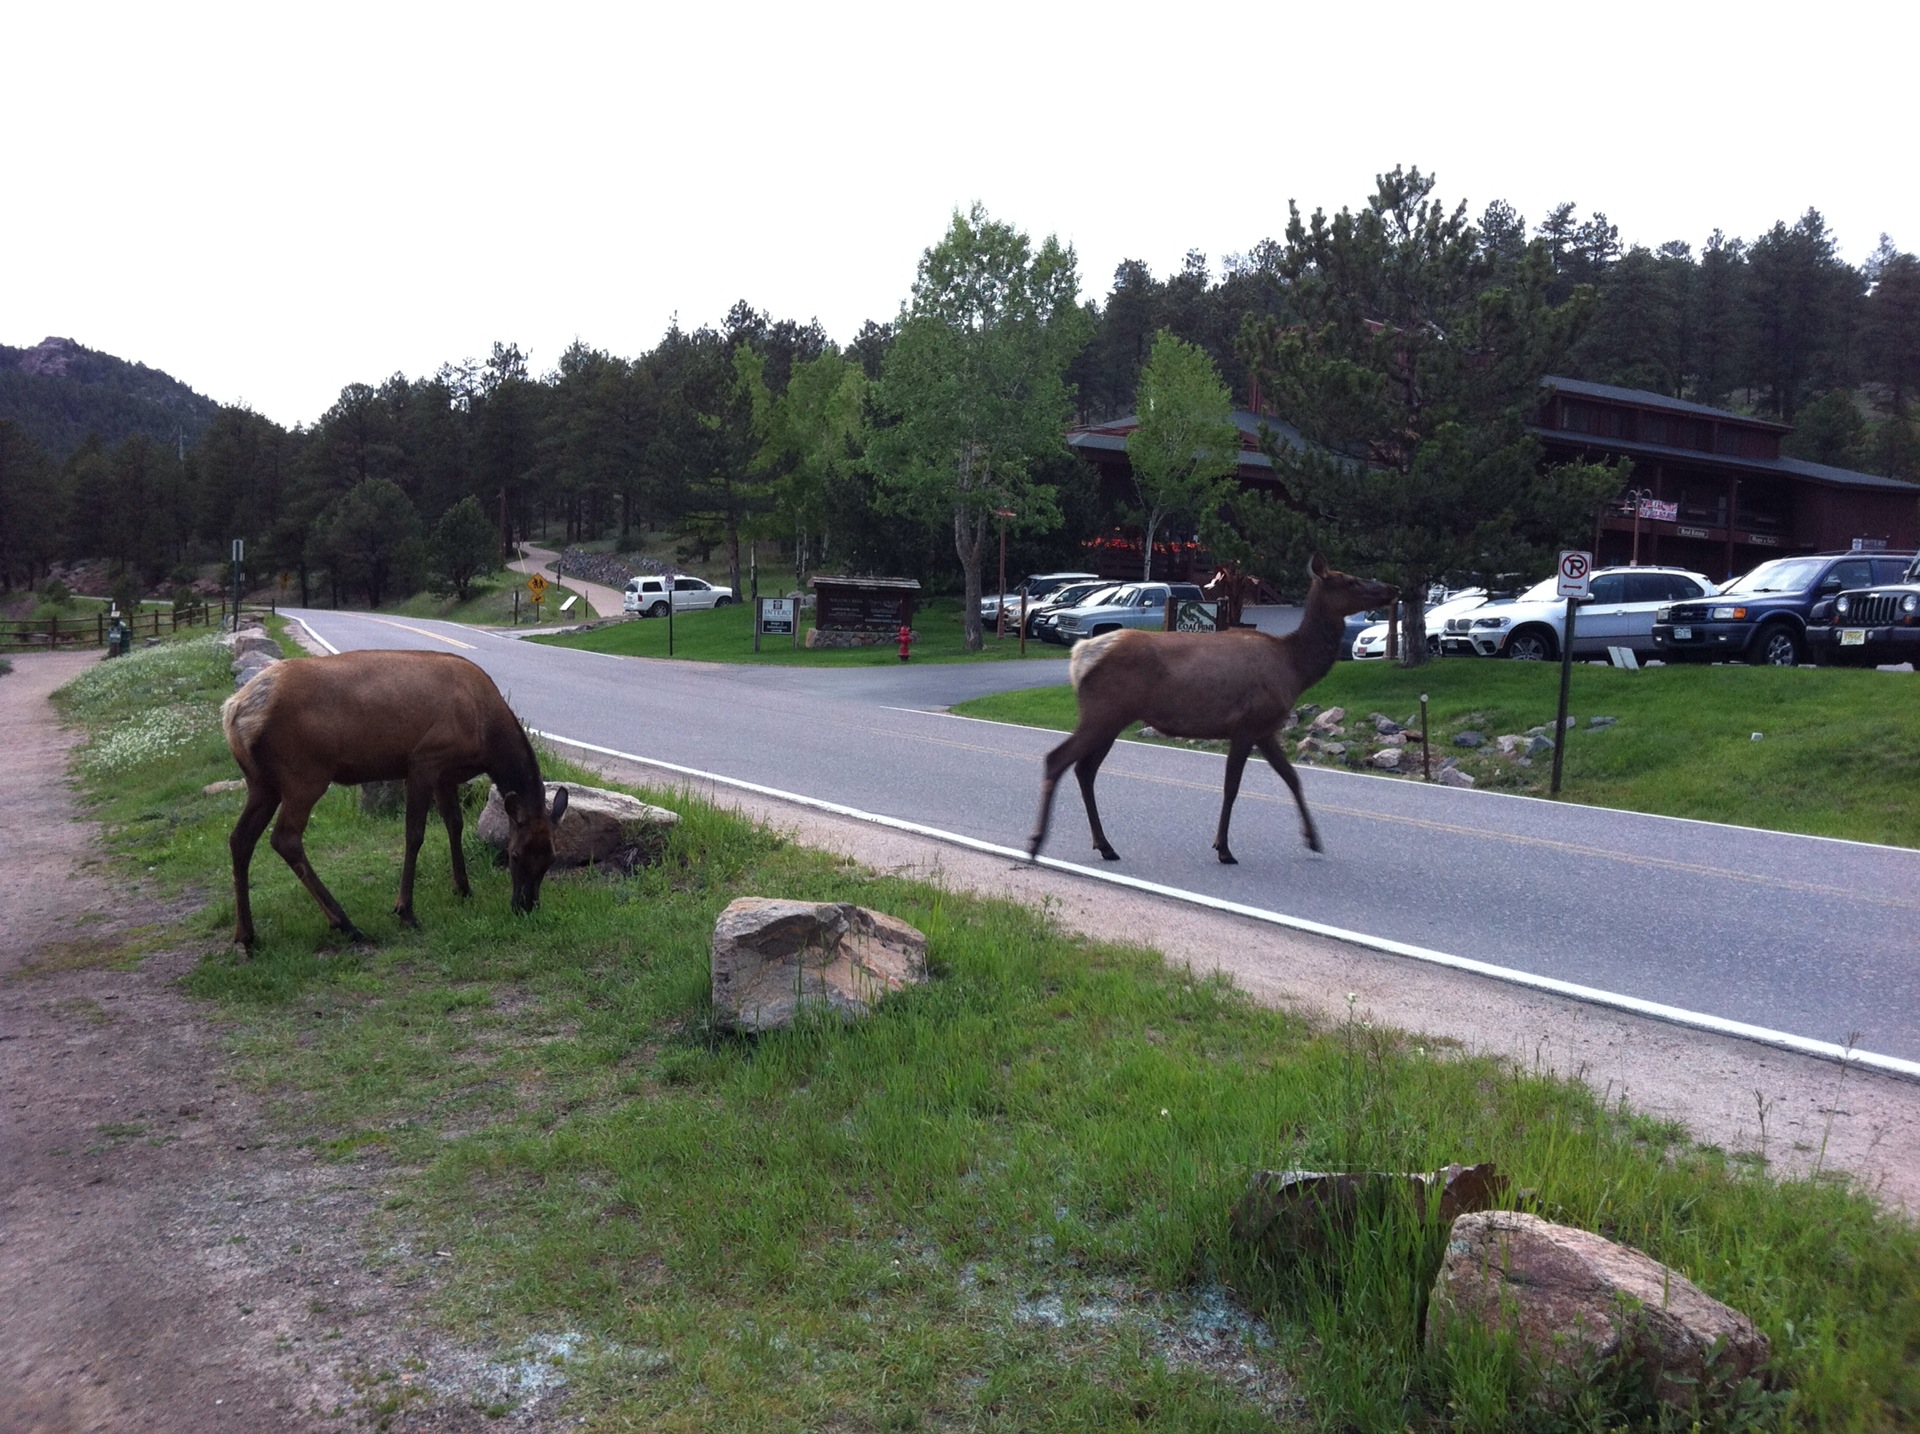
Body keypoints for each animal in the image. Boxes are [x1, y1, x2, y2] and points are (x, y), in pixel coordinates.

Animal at [222, 649, 569, 948]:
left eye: (552, 858)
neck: (485, 735)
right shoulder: (425, 759)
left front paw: (463, 888)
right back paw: (344, 922)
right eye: (514, 854)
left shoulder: (446, 775)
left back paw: (246, 935)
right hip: (304, 775)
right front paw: (405, 910)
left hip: (261, 783)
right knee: (284, 838)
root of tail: (233, 711)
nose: (526, 905)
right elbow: (414, 834)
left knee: (240, 838)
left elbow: (454, 825)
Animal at [1029, 553, 1397, 865]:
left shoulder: (1265, 729)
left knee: (1084, 770)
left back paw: (1104, 845)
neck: (1294, 669)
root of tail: (1079, 655)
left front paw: (1313, 840)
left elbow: (1292, 778)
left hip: (1110, 718)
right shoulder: (1247, 725)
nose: (1392, 589)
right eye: (1350, 580)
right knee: (1058, 759)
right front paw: (1224, 848)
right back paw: (1036, 843)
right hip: (1103, 713)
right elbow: (1231, 787)